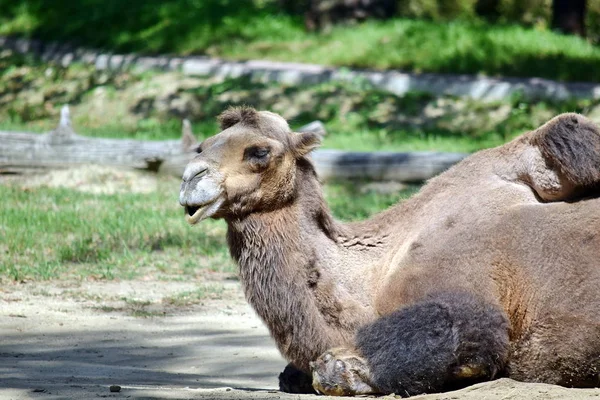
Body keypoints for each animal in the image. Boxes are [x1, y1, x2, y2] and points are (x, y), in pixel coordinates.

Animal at [179, 107, 600, 396]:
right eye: (202, 146)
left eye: (259, 152)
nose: (189, 179)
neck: (374, 272)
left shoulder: (466, 293)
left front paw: (347, 371)